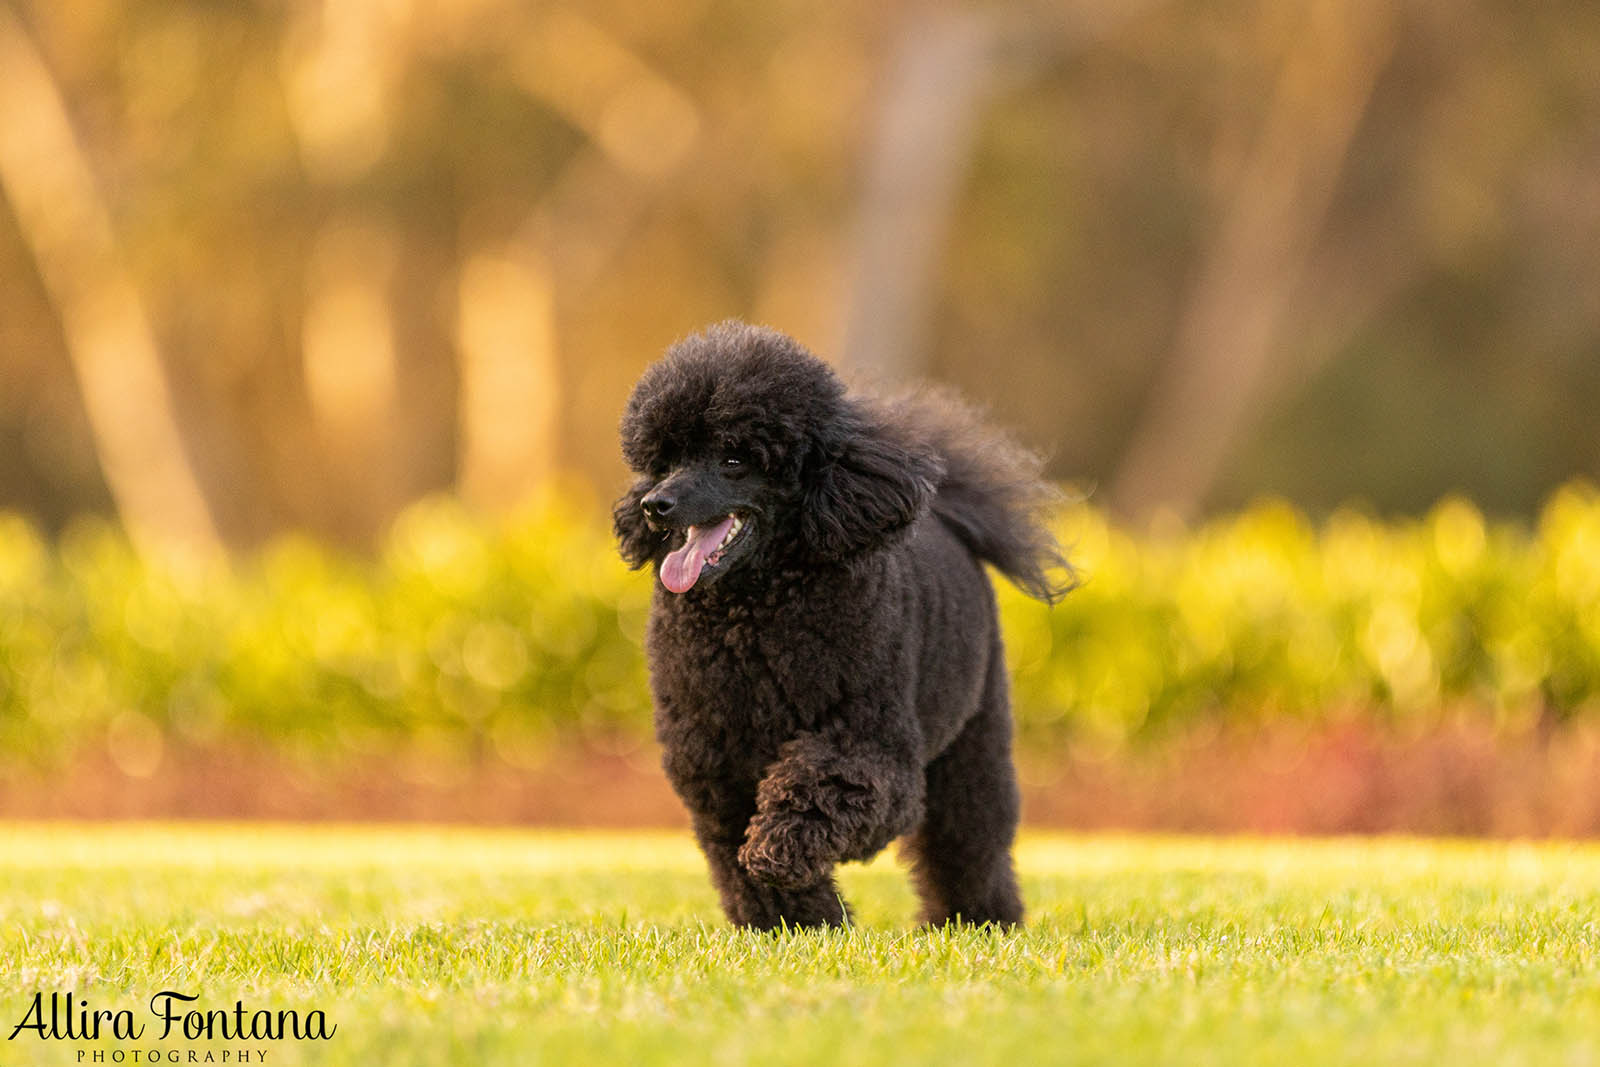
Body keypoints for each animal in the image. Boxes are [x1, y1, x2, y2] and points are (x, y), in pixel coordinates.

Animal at [617, 321, 1068, 927]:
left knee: (969, 839)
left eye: (734, 460)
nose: (654, 505)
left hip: (974, 738)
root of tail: (948, 510)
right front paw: (794, 921)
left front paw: (780, 850)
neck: (752, 614)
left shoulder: (870, 741)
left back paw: (980, 922)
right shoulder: (713, 760)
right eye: (666, 458)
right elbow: (733, 850)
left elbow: (822, 789)